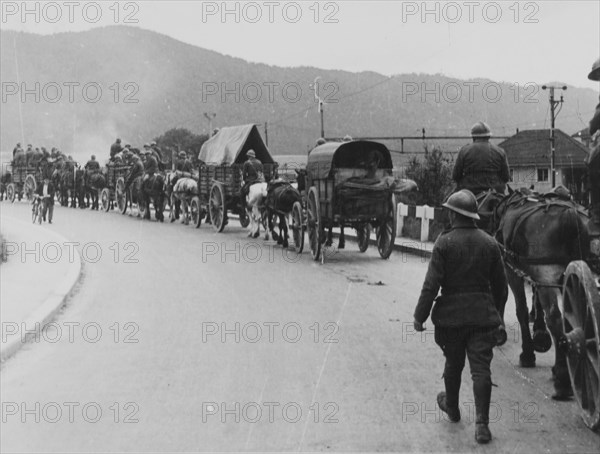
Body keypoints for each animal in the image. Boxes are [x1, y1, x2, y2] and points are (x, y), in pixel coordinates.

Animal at [492, 186, 592, 400]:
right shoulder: (538, 275)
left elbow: (521, 309)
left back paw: (563, 379)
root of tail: (570, 215)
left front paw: (528, 353)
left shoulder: (513, 272)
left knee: (554, 317)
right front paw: (540, 336)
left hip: (548, 273)